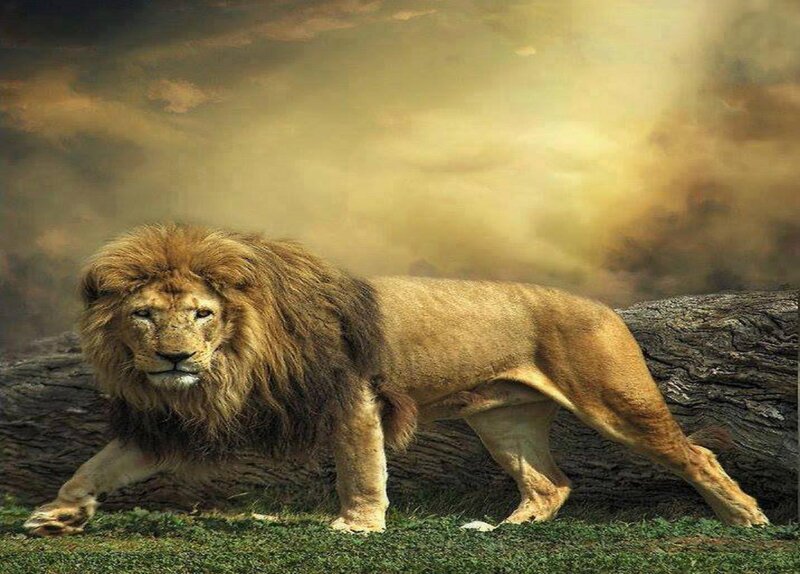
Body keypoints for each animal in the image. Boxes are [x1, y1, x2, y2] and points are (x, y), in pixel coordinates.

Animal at [24, 223, 768, 536]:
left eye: (203, 313)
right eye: (145, 315)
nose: (175, 359)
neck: (235, 358)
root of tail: (606, 306)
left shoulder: (352, 396)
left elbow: (361, 469)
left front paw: (357, 528)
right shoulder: (174, 420)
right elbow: (95, 466)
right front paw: (58, 515)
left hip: (613, 400)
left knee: (696, 453)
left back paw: (746, 518)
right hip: (503, 419)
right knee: (550, 482)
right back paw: (499, 531)